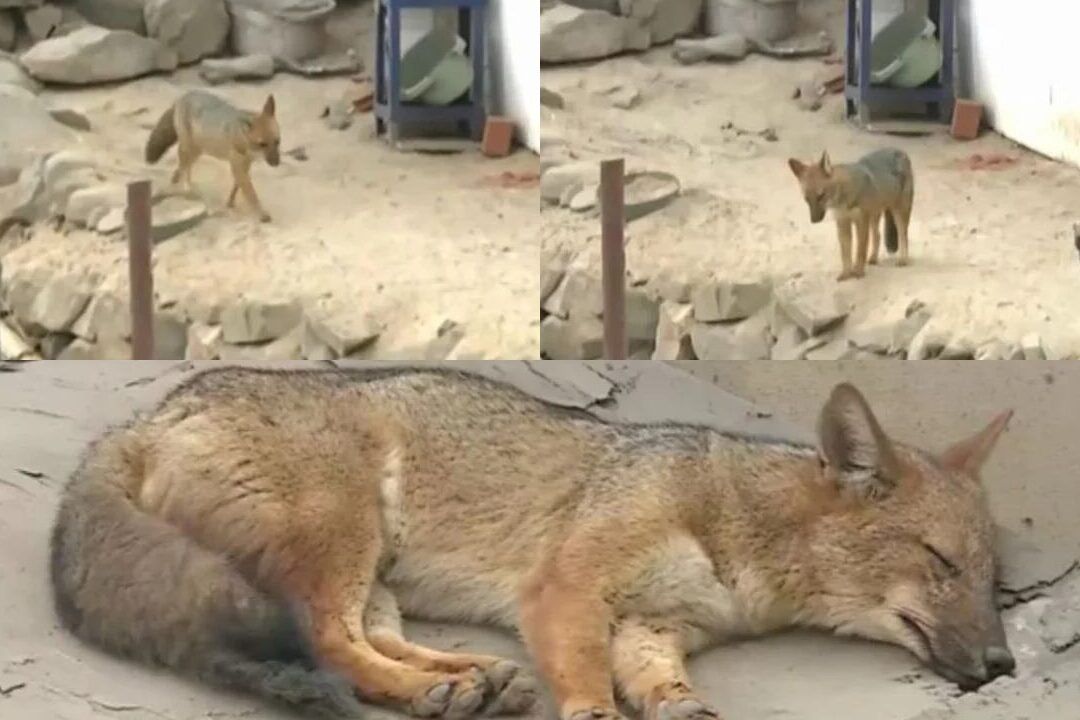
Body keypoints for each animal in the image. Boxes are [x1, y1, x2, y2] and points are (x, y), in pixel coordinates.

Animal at [50, 365, 1016, 720]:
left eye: (991, 582)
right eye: (941, 564)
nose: (1005, 664)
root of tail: (150, 411)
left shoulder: (656, 626)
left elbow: (662, 685)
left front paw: (679, 708)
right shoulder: (567, 590)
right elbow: (586, 680)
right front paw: (591, 713)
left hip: (376, 573)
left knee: (370, 638)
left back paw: (471, 680)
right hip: (343, 538)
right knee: (328, 641)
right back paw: (441, 692)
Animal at [145, 90, 281, 223]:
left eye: (277, 141)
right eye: (262, 144)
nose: (276, 163)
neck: (242, 140)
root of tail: (184, 95)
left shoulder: (245, 165)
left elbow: (236, 186)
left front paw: (230, 202)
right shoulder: (237, 167)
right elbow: (251, 194)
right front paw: (262, 214)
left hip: (196, 152)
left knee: (181, 169)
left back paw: (179, 184)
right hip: (189, 150)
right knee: (183, 170)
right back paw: (185, 189)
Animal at [788, 147, 915, 281]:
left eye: (821, 196)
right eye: (806, 199)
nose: (814, 220)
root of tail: (899, 150)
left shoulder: (861, 222)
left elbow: (860, 251)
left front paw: (858, 271)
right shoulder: (842, 223)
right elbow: (845, 254)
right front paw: (846, 273)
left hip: (898, 213)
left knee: (903, 236)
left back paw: (903, 259)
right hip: (874, 217)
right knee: (878, 235)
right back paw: (873, 258)